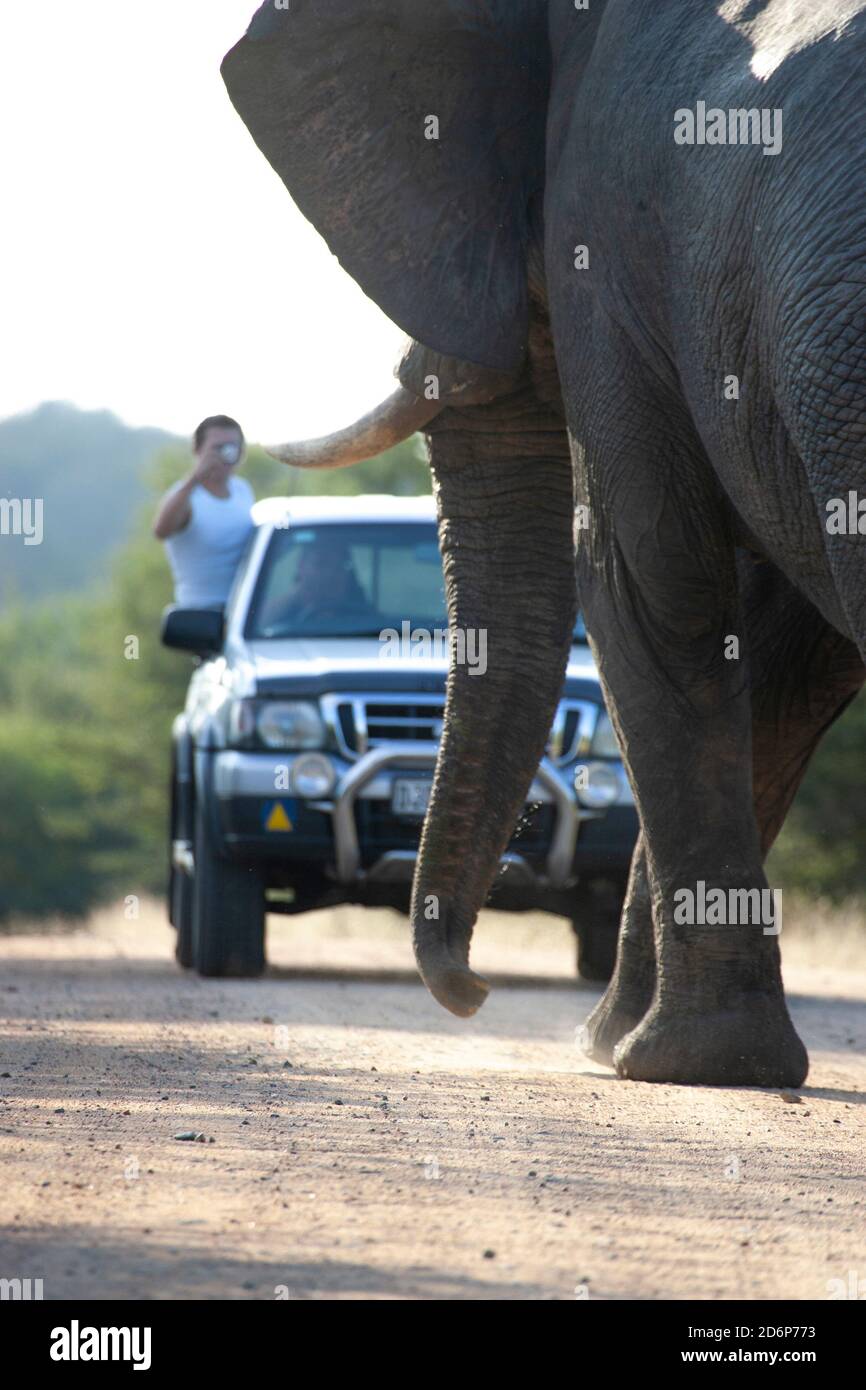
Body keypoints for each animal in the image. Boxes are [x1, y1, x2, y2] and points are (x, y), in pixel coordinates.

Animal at [222, 0, 866, 1084]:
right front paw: (618, 1047)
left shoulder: (603, 238)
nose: (470, 991)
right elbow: (782, 660)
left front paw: (678, 1060)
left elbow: (643, 577)